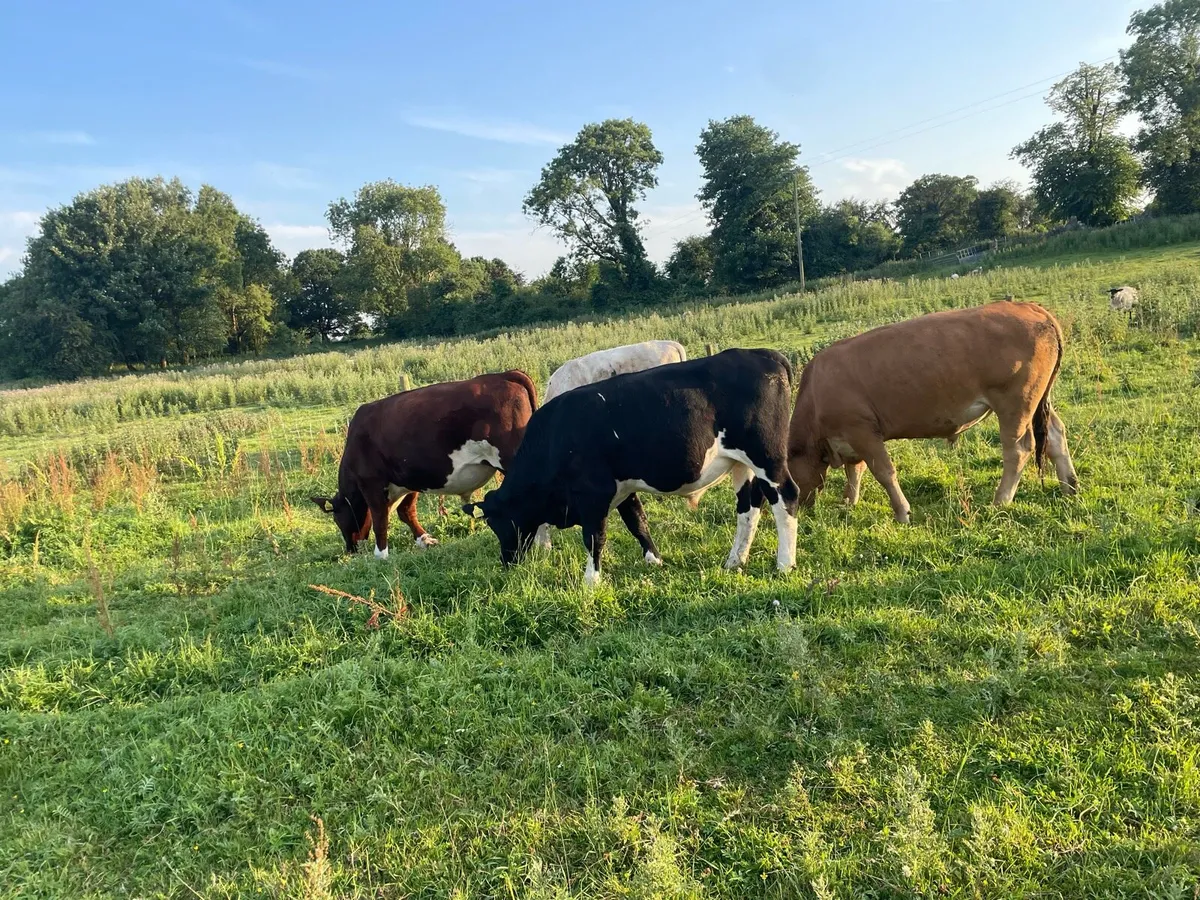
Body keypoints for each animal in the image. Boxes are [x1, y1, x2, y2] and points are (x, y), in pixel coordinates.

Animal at [311, 370, 537, 559]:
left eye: (337, 519)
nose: (350, 550)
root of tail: (504, 374)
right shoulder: (408, 477)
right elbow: (406, 511)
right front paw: (425, 540)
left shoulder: (371, 482)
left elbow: (379, 518)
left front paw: (381, 555)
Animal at [787, 301, 1078, 524]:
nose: (798, 509)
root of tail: (1029, 307)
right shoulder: (850, 437)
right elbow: (854, 471)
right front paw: (848, 502)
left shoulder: (862, 431)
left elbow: (883, 472)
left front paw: (902, 513)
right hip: (1039, 399)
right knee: (1056, 435)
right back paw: (1070, 486)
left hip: (1015, 403)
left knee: (1018, 450)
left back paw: (1000, 501)